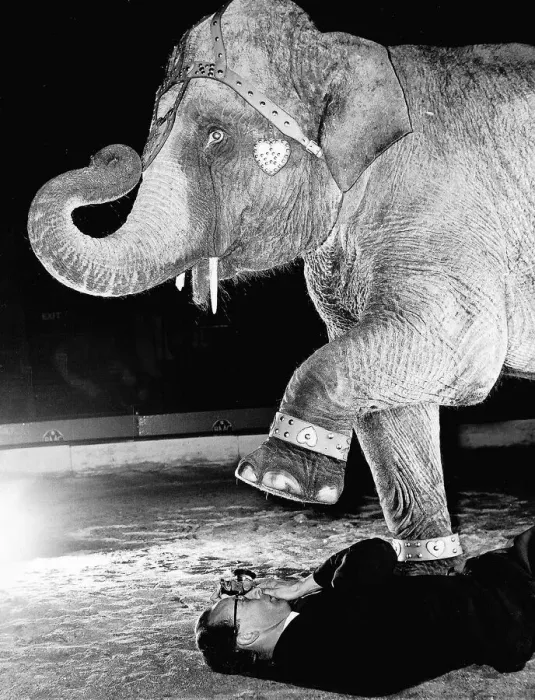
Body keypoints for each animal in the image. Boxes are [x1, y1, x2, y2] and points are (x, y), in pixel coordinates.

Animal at [28, 0, 535, 570]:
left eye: (216, 136)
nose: (107, 155)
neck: (354, 54)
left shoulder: (445, 218)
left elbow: (464, 353)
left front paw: (278, 481)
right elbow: (391, 400)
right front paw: (429, 569)